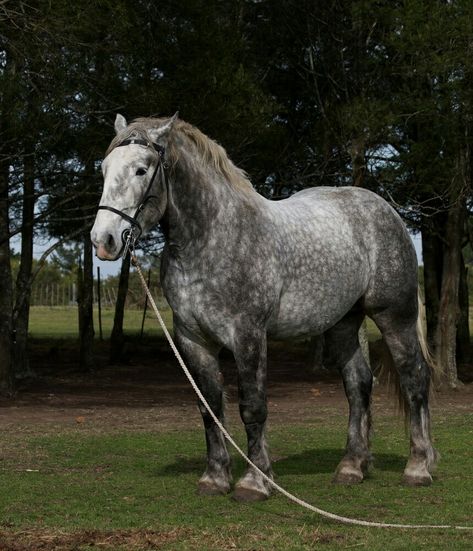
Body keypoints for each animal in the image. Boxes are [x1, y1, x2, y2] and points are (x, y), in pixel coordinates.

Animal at [90, 114, 436, 502]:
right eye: (104, 169)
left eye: (141, 169)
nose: (103, 241)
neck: (212, 238)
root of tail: (386, 211)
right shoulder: (192, 338)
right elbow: (209, 406)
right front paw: (215, 478)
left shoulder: (248, 334)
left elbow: (253, 407)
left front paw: (254, 482)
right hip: (343, 323)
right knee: (358, 384)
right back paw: (351, 467)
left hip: (395, 316)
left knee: (414, 378)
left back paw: (418, 467)